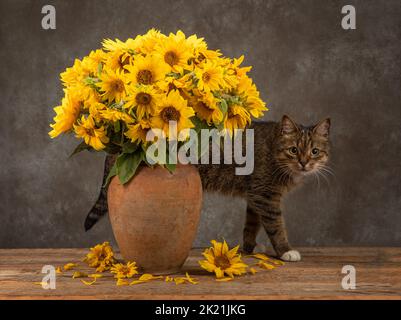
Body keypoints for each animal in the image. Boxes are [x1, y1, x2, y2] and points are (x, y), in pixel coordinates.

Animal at [83, 116, 328, 262]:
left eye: (315, 151)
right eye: (294, 150)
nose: (304, 163)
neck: (273, 148)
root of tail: (121, 144)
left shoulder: (255, 195)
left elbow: (251, 224)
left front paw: (249, 247)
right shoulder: (265, 196)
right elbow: (276, 226)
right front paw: (286, 250)